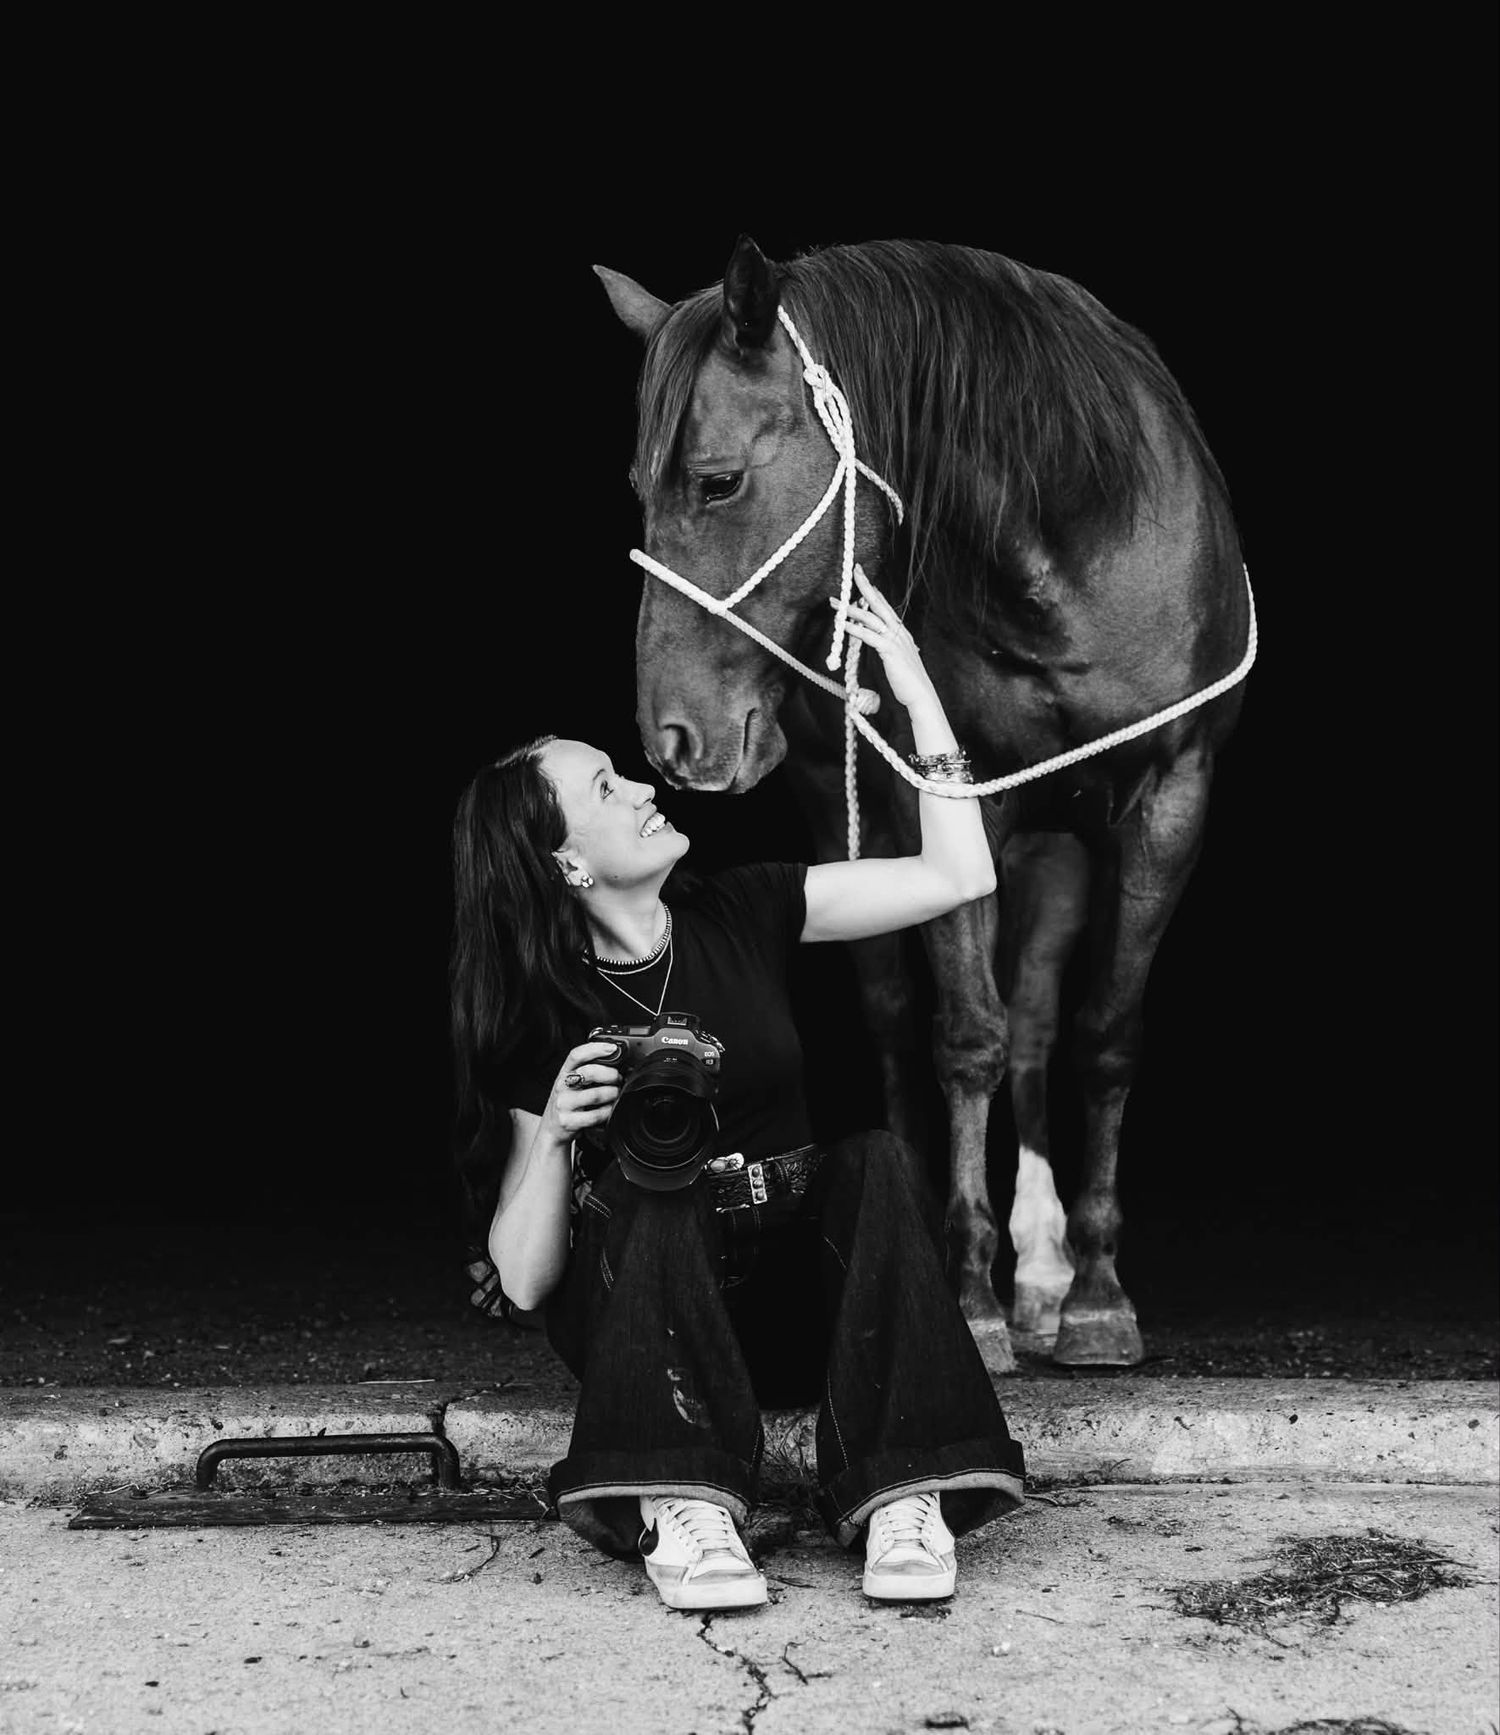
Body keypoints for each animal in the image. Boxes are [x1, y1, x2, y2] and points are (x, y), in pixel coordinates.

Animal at [594, 234, 1252, 1368]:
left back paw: (1047, 1269)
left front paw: (1097, 1292)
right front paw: (970, 1295)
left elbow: (1101, 1034)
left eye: (717, 482)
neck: (1071, 549)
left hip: (1054, 838)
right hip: (844, 805)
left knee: (1037, 1017)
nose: (670, 734)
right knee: (902, 1025)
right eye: (642, 484)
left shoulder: (1172, 794)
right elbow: (964, 1038)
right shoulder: (957, 801)